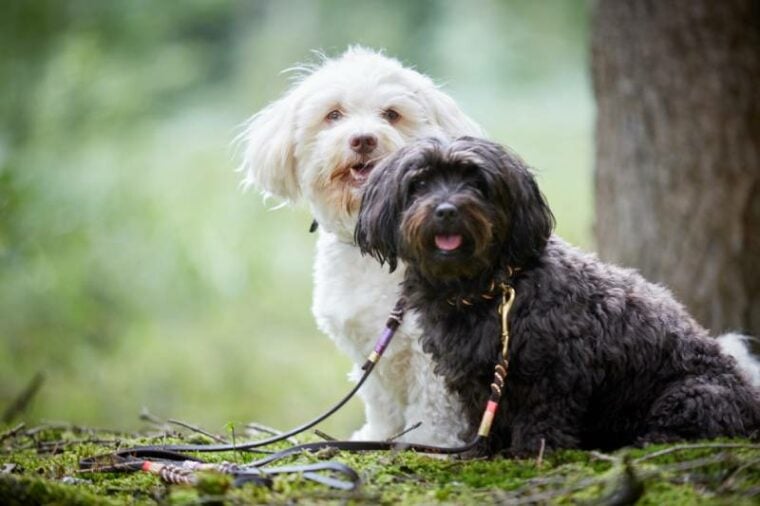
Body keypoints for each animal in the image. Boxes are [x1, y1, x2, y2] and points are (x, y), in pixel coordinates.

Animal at [240, 47, 484, 442]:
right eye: (334, 115)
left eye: (391, 114)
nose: (363, 139)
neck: (373, 247)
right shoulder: (365, 344)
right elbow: (378, 398)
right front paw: (377, 436)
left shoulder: (431, 356)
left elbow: (431, 408)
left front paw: (426, 443)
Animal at [358, 136, 760, 456]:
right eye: (420, 183)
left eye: (476, 182)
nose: (446, 210)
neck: (492, 290)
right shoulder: (477, 380)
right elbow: (481, 418)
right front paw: (479, 450)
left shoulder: (554, 372)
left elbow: (542, 416)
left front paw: (530, 453)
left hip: (693, 393)